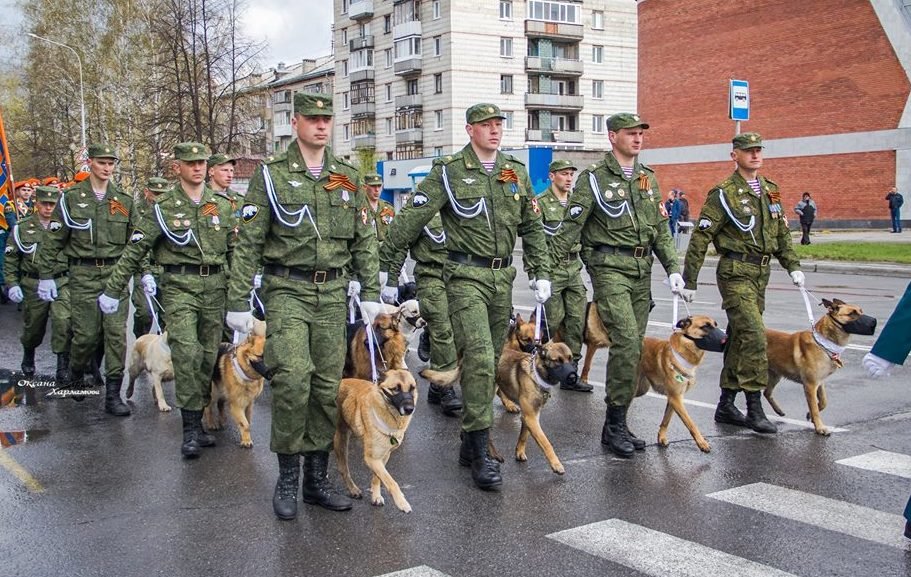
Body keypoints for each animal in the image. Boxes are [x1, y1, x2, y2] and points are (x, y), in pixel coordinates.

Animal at [334, 368, 420, 512]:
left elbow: (378, 478)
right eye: (395, 389)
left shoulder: (383, 457)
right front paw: (401, 502)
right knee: (343, 468)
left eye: (412, 388)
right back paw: (352, 489)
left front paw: (376, 496)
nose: (409, 409)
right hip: (340, 441)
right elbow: (391, 481)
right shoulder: (371, 459)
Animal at [636, 316, 732, 450]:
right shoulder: (676, 398)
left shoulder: (674, 398)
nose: (727, 338)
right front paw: (701, 442)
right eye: (705, 326)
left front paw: (661, 437)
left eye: (715, 325)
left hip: (640, 388)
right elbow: (690, 422)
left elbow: (666, 419)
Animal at [764, 300, 880, 434]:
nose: (874, 322)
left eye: (861, 311)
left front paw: (810, 416)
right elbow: (815, 407)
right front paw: (819, 427)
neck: (823, 343)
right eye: (852, 313)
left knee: (766, 393)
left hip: (775, 376)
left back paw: (779, 410)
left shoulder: (819, 382)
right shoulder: (810, 385)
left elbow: (823, 402)